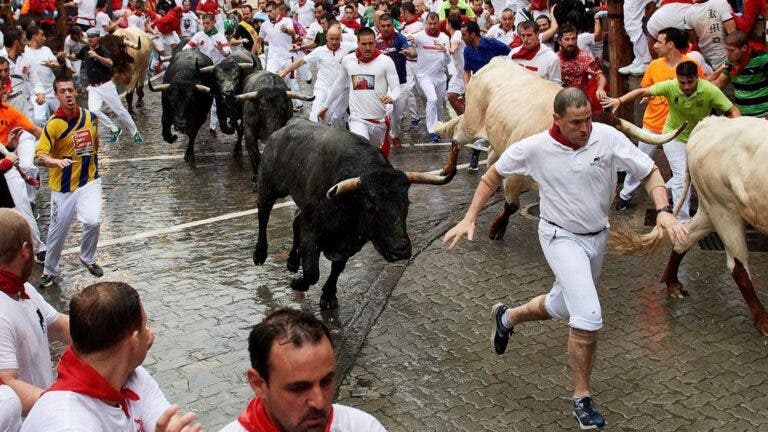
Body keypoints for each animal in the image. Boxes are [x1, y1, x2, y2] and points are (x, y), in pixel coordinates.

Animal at [252, 118, 460, 310]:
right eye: (370, 205)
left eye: (406, 203)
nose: (401, 250)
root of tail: (284, 127)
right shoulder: (312, 230)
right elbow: (312, 273)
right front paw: (297, 283)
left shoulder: (351, 243)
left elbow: (337, 268)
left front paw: (328, 296)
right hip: (269, 186)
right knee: (263, 214)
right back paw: (260, 254)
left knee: (295, 220)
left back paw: (292, 262)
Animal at [436, 57, 680, 240]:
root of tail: (496, 62)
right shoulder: (516, 176)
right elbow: (511, 205)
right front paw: (497, 229)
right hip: (472, 121)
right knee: (457, 137)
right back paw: (447, 169)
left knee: (491, 158)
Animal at [612, 116, 768, 336]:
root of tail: (711, 122)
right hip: (724, 210)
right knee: (738, 266)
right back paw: (764, 321)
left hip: (711, 210)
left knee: (684, 238)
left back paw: (673, 285)